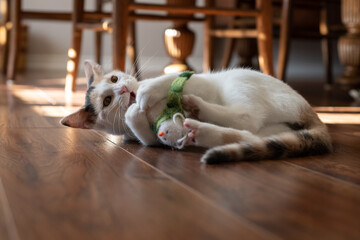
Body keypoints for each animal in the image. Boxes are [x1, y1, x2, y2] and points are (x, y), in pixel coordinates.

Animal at [59, 61, 332, 164]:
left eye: (114, 78)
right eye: (107, 101)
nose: (124, 89)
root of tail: (310, 111)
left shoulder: (201, 80)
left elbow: (174, 77)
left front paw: (148, 89)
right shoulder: (143, 138)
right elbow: (146, 135)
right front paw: (134, 113)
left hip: (238, 81)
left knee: (246, 116)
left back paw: (194, 105)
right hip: (264, 128)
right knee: (248, 130)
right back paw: (198, 128)